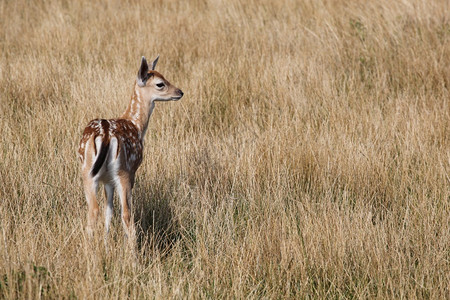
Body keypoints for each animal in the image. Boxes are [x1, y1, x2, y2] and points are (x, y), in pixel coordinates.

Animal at [78, 56, 184, 243]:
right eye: (160, 83)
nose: (180, 92)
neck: (135, 124)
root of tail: (106, 135)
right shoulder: (131, 171)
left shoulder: (107, 179)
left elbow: (108, 211)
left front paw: (105, 241)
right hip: (123, 171)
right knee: (127, 215)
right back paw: (132, 249)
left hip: (87, 171)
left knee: (94, 211)